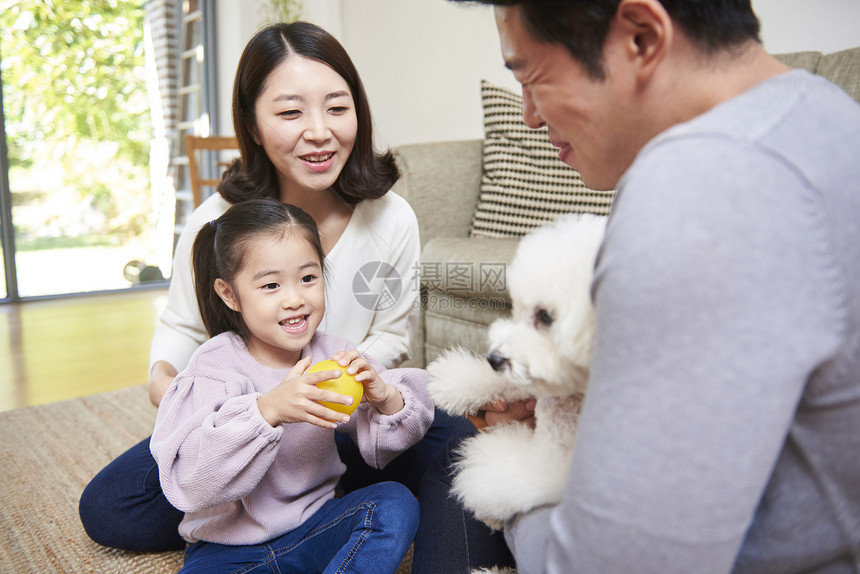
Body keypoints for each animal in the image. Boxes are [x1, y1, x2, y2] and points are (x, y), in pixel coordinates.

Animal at [428, 214, 604, 532]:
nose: (493, 358)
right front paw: (454, 383)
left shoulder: (551, 466)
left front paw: (487, 511)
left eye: (545, 316)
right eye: (518, 310)